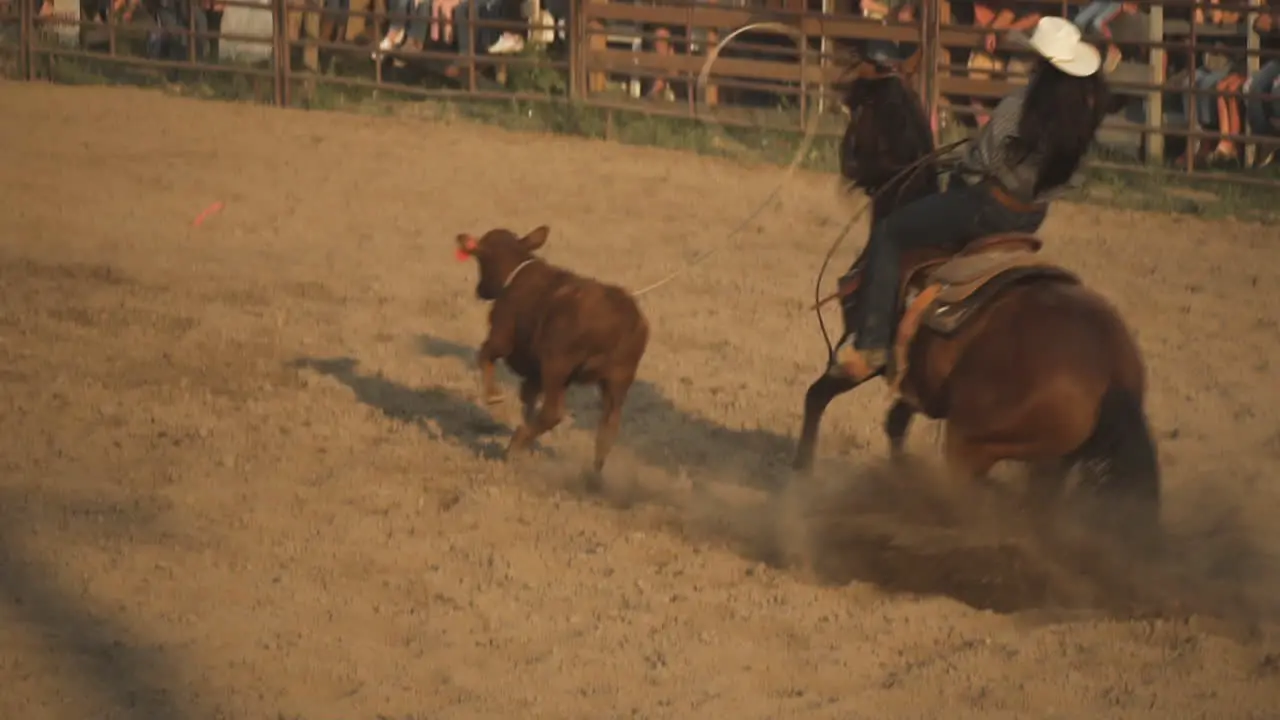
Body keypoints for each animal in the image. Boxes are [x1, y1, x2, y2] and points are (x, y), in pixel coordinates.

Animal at [455, 221, 650, 474]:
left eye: (480, 257)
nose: (481, 290)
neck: (515, 270)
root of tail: (625, 320)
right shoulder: (534, 373)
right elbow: (527, 399)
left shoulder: (501, 340)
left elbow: (485, 356)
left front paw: (494, 396)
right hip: (619, 378)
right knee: (609, 427)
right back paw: (591, 476)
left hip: (557, 365)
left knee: (553, 412)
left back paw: (515, 445)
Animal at [788, 56, 1162, 532]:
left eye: (857, 115)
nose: (848, 165)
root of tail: (1113, 373)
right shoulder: (923, 381)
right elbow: (895, 423)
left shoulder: (863, 352)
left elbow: (816, 396)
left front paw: (801, 471)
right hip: (1050, 462)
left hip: (973, 443)